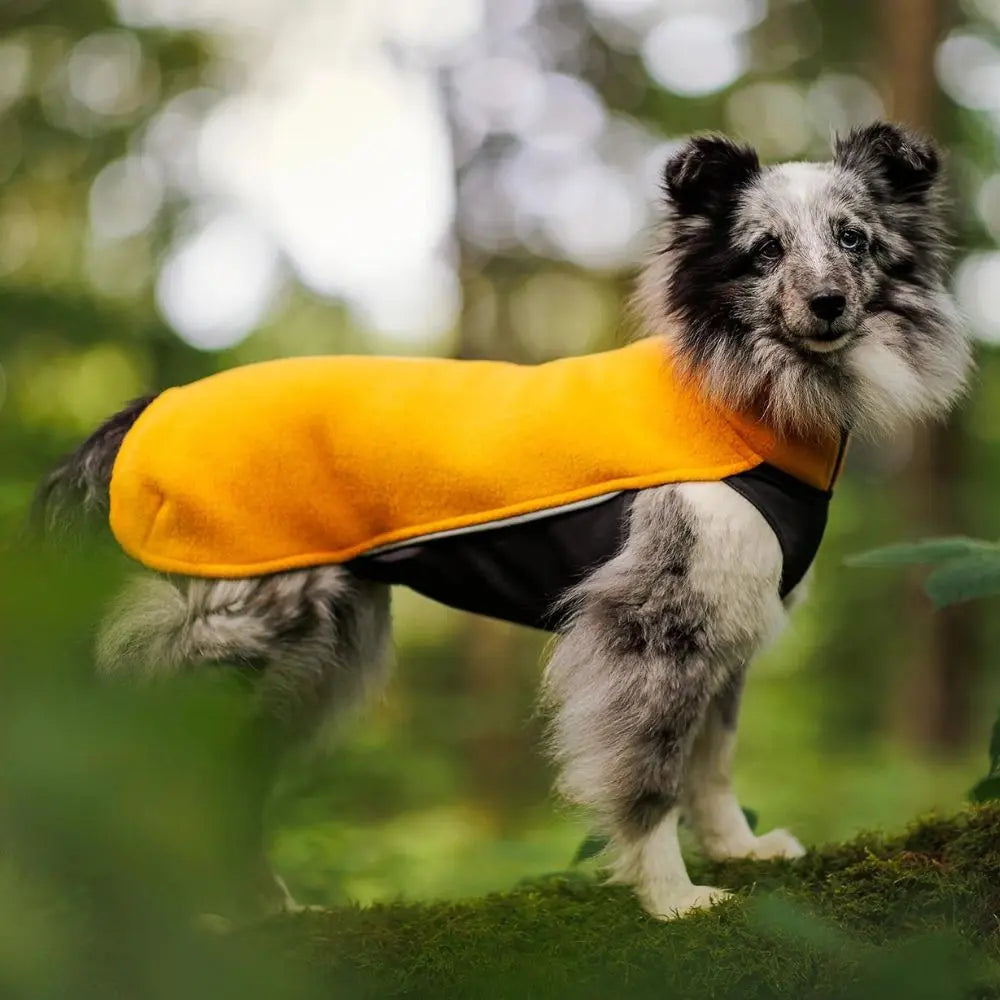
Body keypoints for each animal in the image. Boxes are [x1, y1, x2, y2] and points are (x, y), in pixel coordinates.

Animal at [37, 123, 968, 920]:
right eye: (765, 249)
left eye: (853, 239)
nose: (827, 303)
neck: (742, 397)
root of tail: (143, 413)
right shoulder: (653, 631)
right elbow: (652, 778)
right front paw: (672, 896)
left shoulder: (728, 625)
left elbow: (713, 762)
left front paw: (738, 850)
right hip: (239, 635)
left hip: (306, 662)